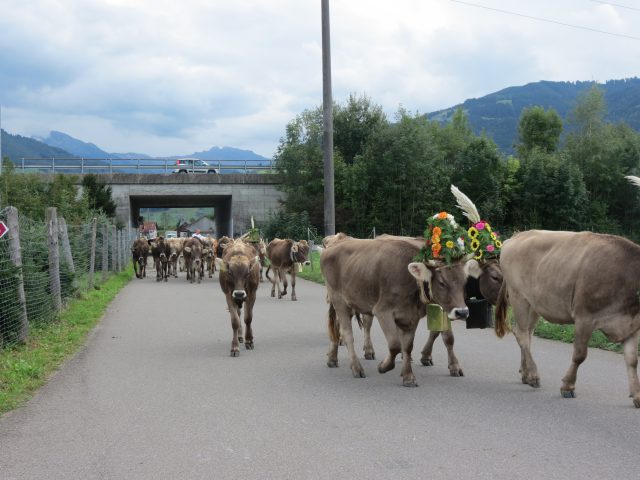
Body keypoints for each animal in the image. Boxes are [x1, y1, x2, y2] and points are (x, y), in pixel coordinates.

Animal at [320, 236, 476, 386]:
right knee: (346, 333)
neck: (411, 280)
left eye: (465, 281)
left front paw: (408, 377)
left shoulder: (411, 317)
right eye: (442, 283)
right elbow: (395, 345)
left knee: (338, 327)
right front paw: (383, 366)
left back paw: (333, 358)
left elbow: (407, 346)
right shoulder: (382, 311)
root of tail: (337, 242)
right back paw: (356, 368)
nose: (462, 312)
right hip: (338, 300)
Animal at [496, 231, 640, 406]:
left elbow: (632, 360)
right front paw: (568, 386)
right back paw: (533, 376)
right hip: (518, 296)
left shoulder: (631, 324)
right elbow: (579, 355)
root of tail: (516, 236)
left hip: (534, 303)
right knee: (522, 335)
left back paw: (525, 374)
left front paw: (637, 395)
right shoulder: (585, 317)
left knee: (527, 334)